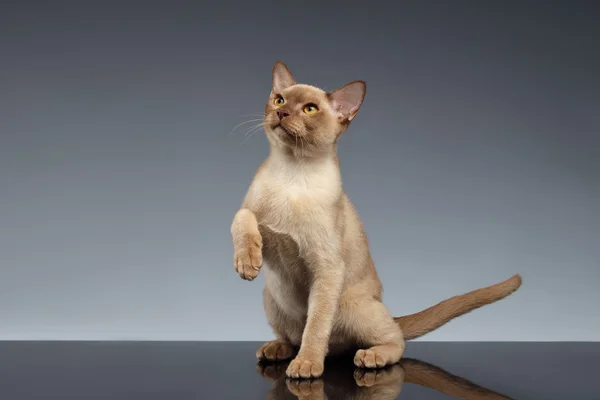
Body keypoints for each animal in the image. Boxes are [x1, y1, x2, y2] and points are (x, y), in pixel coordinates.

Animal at [230, 61, 520, 380]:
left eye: (309, 109)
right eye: (280, 100)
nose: (281, 113)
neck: (292, 174)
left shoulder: (326, 269)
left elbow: (315, 326)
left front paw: (307, 365)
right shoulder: (262, 225)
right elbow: (242, 217)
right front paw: (247, 263)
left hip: (349, 307)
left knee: (390, 338)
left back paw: (370, 357)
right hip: (271, 298)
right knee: (293, 336)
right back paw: (275, 349)